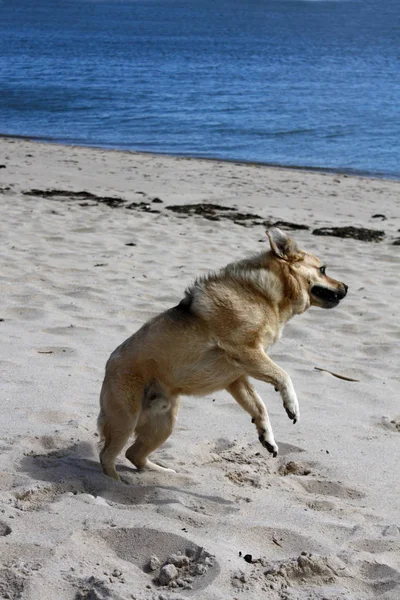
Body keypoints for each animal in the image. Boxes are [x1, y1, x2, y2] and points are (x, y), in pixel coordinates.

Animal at [97, 227, 346, 480]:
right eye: (323, 270)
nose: (346, 287)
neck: (265, 296)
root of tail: (109, 365)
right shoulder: (246, 352)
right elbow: (284, 376)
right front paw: (292, 405)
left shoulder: (237, 376)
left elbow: (259, 407)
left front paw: (268, 438)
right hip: (126, 419)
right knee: (107, 455)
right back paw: (115, 482)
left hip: (164, 423)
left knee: (134, 455)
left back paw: (163, 472)